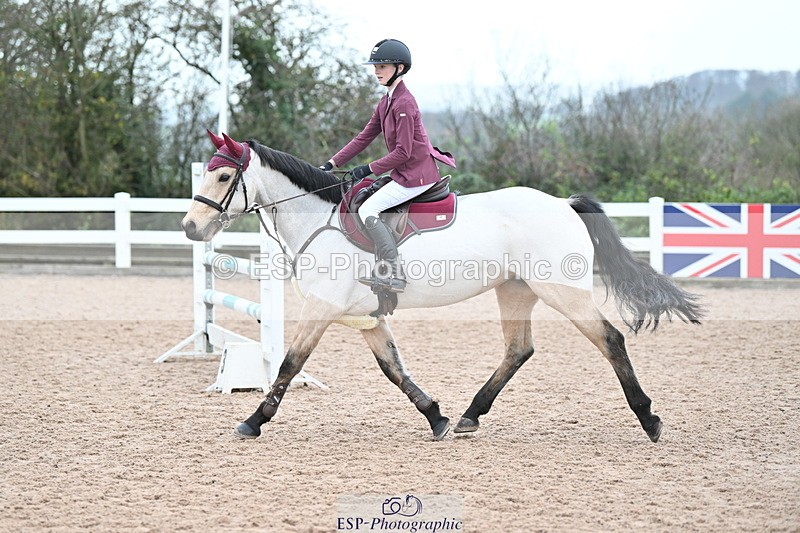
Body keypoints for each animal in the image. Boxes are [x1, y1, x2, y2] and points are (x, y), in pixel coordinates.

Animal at [181, 131, 702, 443]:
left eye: (224, 175)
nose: (190, 227)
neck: (319, 220)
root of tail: (563, 204)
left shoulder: (322, 308)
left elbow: (290, 364)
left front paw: (253, 421)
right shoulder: (366, 317)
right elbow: (393, 369)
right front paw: (436, 416)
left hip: (562, 291)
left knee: (609, 339)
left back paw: (649, 419)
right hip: (515, 290)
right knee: (519, 349)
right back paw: (472, 414)